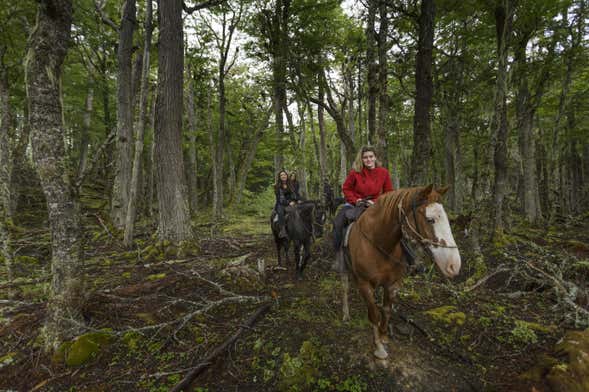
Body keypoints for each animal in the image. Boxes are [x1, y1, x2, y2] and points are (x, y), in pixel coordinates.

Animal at [340, 185, 460, 360]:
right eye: (430, 219)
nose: (454, 265)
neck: (379, 243)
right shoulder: (364, 284)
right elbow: (374, 314)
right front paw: (378, 348)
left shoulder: (393, 284)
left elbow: (386, 310)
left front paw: (383, 337)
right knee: (345, 287)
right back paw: (346, 314)